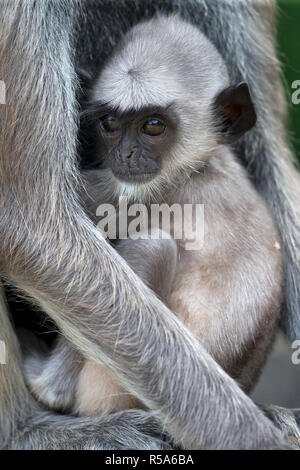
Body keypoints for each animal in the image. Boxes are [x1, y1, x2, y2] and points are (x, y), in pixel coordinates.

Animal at [0, 0, 300, 452]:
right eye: (109, 123)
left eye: (153, 126)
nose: (125, 154)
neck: (201, 164)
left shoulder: (136, 191)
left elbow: (30, 223)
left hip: (103, 384)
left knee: (152, 245)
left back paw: (38, 404)